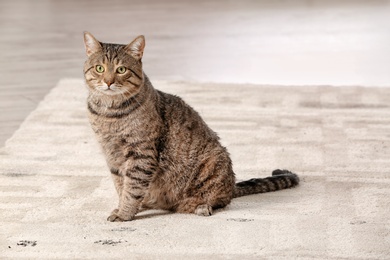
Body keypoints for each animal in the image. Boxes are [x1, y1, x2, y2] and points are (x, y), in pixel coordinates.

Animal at [80, 31, 298, 221]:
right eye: (100, 68)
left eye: (121, 70)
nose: (108, 82)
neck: (109, 114)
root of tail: (232, 185)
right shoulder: (111, 154)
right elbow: (121, 185)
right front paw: (124, 207)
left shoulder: (141, 153)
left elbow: (132, 188)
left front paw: (125, 213)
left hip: (214, 162)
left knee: (219, 200)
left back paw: (199, 206)